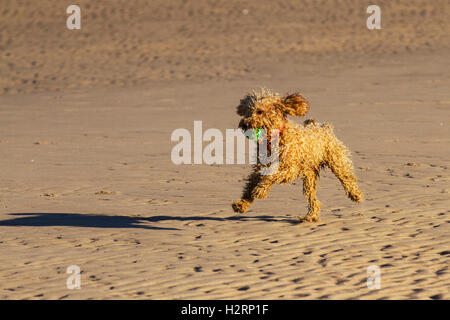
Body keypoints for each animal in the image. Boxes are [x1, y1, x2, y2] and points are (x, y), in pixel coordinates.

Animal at [232, 89, 362, 221]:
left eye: (259, 111)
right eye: (247, 111)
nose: (244, 124)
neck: (275, 139)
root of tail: (324, 126)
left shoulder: (290, 169)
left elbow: (270, 177)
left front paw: (260, 190)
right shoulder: (260, 168)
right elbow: (250, 185)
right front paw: (241, 204)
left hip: (336, 160)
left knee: (346, 177)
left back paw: (356, 195)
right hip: (309, 175)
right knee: (312, 197)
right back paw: (311, 216)